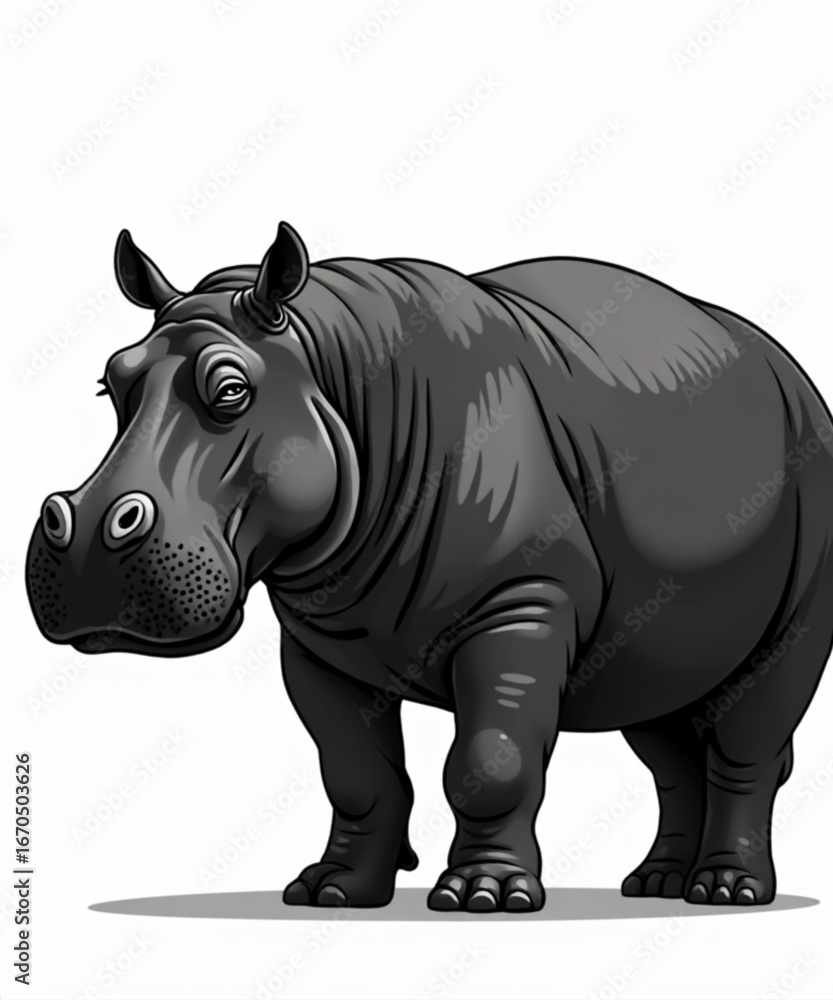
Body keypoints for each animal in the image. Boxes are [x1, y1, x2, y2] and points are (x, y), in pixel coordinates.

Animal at [27, 222, 833, 913]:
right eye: (108, 385)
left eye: (230, 390)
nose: (89, 538)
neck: (332, 373)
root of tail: (793, 374)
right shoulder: (319, 642)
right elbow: (353, 772)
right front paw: (331, 893)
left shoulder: (520, 601)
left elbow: (489, 759)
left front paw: (485, 899)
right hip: (664, 614)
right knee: (662, 726)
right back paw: (656, 886)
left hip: (811, 494)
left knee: (751, 725)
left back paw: (725, 892)